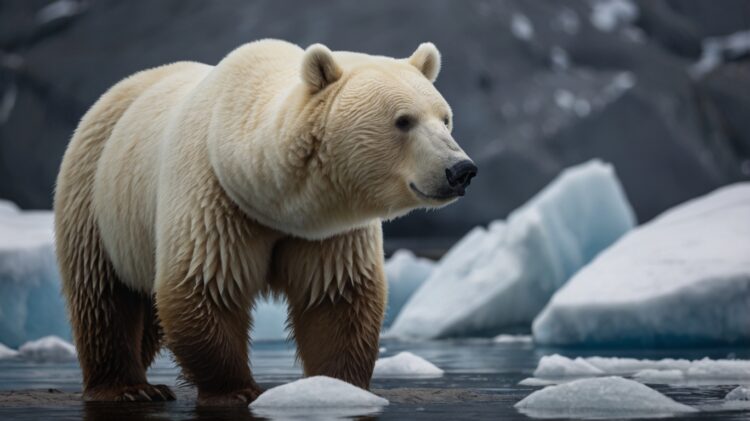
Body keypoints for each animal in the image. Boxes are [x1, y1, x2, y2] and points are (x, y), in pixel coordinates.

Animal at [54, 39, 476, 404]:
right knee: (103, 294)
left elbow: (338, 297)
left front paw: (338, 386)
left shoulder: (329, 231)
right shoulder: (214, 200)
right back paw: (128, 387)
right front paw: (238, 390)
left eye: (445, 118)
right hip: (96, 193)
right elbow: (205, 285)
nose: (461, 170)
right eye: (403, 120)